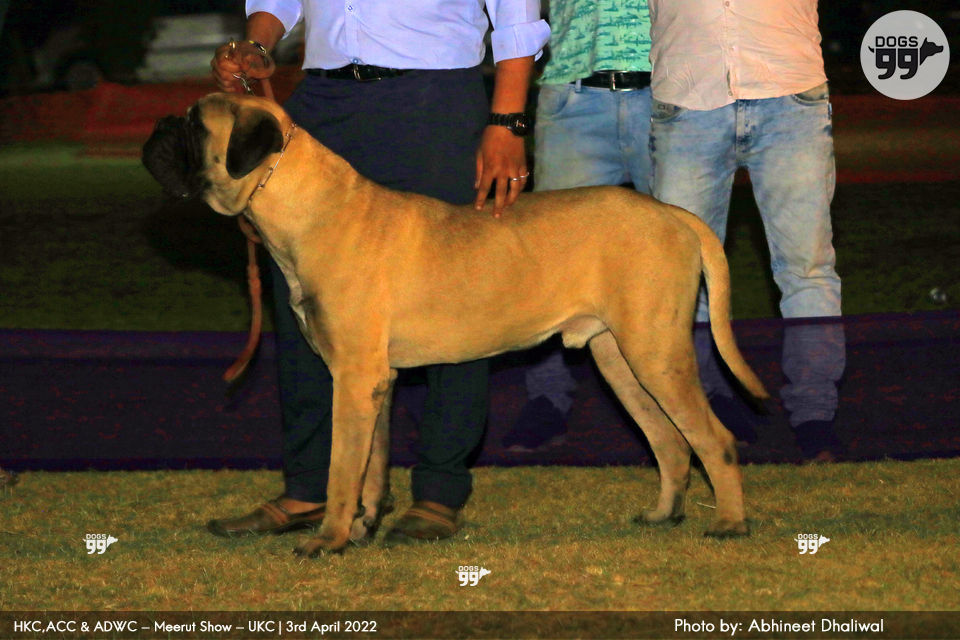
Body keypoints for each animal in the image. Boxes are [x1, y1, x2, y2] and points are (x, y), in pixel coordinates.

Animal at [143, 93, 769, 556]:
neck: (310, 207)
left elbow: (343, 469)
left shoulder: (353, 378)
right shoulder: (376, 380)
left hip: (655, 351)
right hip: (619, 357)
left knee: (715, 440)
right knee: (670, 441)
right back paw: (664, 514)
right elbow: (372, 467)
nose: (158, 125)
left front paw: (328, 539)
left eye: (195, 124)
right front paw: (363, 531)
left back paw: (731, 524)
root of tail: (672, 213)